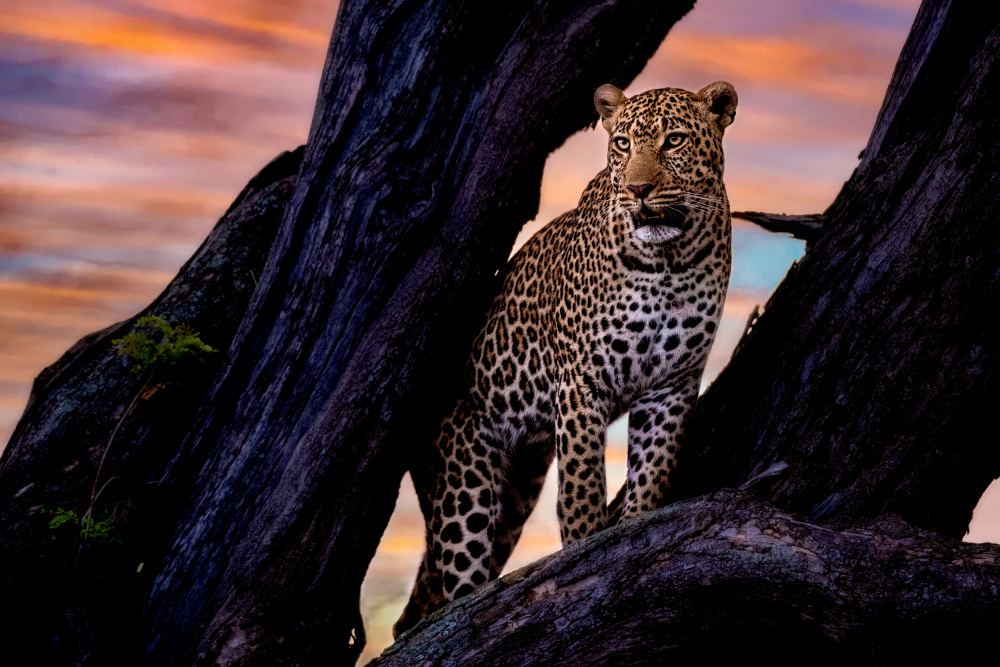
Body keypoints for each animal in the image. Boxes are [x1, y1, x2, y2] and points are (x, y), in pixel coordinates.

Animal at [394, 81, 738, 637]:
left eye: (674, 140)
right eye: (622, 144)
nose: (639, 189)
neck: (669, 262)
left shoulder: (672, 385)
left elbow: (653, 471)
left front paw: (633, 531)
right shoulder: (581, 380)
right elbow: (581, 486)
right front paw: (583, 554)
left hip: (515, 492)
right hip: (462, 479)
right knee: (457, 580)